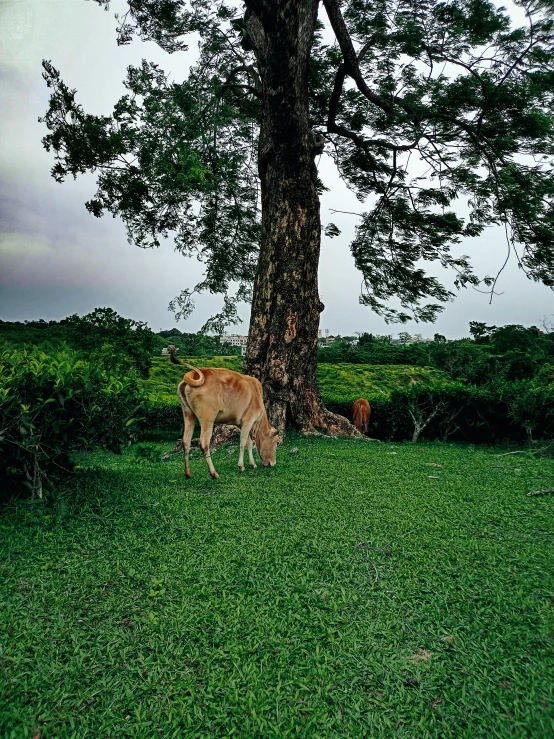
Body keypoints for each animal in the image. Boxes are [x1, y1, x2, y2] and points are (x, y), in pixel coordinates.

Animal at [169, 346, 276, 480]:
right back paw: (213, 473)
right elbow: (243, 443)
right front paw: (241, 466)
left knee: (186, 441)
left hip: (188, 414)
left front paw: (252, 464)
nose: (273, 463)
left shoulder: (241, 424)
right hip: (207, 418)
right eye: (276, 443)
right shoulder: (248, 421)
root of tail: (193, 374)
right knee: (204, 443)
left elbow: (248, 442)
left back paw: (188, 473)